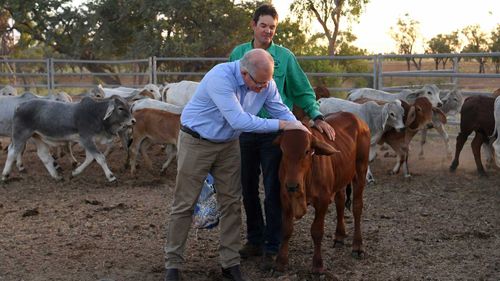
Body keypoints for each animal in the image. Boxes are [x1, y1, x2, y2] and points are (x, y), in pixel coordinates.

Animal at [1, 95, 135, 182]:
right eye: (120, 108)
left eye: (128, 106)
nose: (133, 121)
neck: (96, 114)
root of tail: (20, 105)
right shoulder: (86, 139)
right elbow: (100, 158)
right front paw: (111, 176)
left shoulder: (87, 141)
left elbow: (90, 158)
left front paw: (75, 172)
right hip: (20, 135)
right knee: (12, 152)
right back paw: (5, 175)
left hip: (37, 137)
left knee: (43, 155)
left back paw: (56, 176)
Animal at [272, 110, 370, 272]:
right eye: (283, 150)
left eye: (306, 151)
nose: (292, 186)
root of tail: (356, 118)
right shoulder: (285, 198)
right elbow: (286, 229)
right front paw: (281, 261)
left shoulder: (322, 201)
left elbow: (317, 231)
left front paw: (317, 265)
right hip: (341, 178)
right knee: (340, 201)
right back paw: (339, 235)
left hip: (360, 171)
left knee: (357, 206)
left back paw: (357, 245)